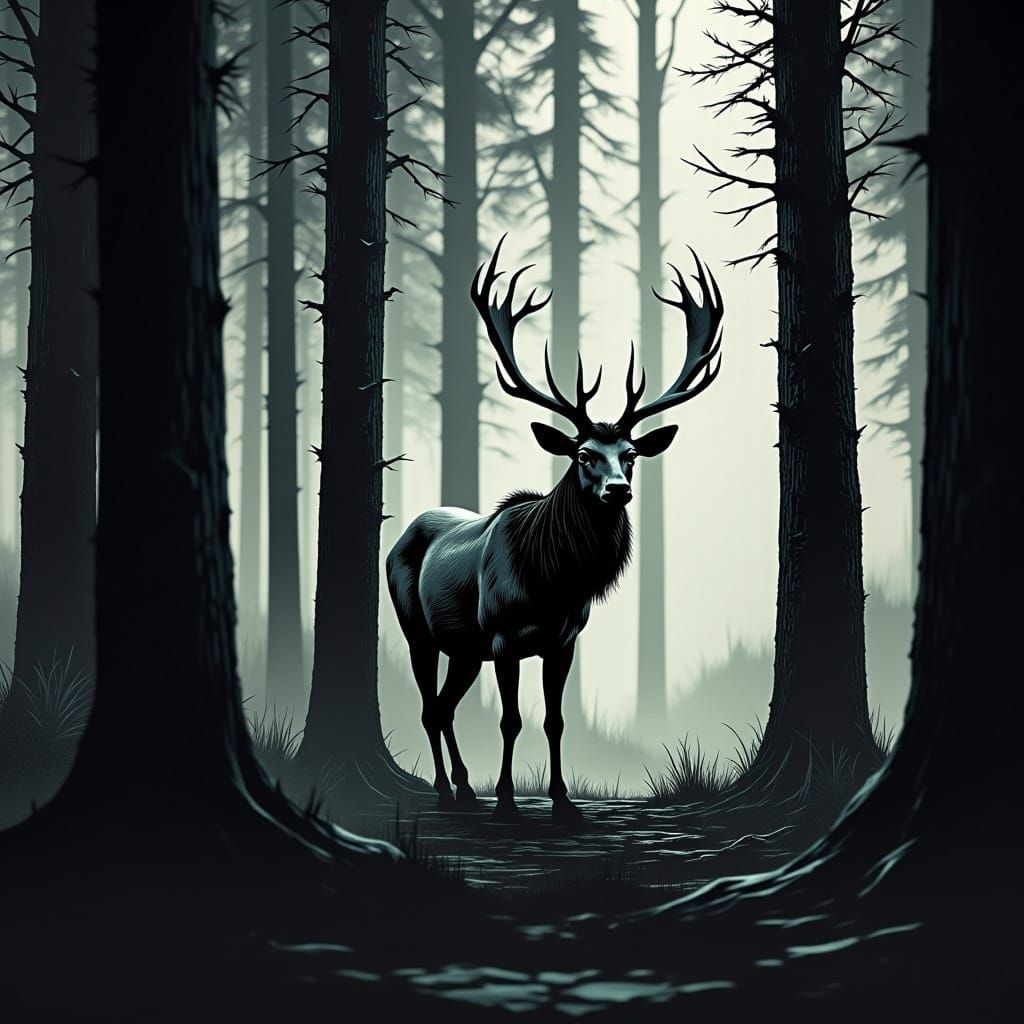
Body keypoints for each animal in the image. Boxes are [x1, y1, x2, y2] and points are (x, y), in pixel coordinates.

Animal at [386, 236, 724, 822]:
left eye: (631, 454)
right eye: (583, 454)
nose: (618, 490)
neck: (553, 583)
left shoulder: (563, 641)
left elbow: (554, 720)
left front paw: (563, 801)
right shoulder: (502, 636)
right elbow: (510, 720)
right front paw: (507, 802)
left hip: (464, 648)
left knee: (446, 707)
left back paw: (464, 787)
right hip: (418, 630)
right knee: (430, 707)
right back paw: (447, 790)